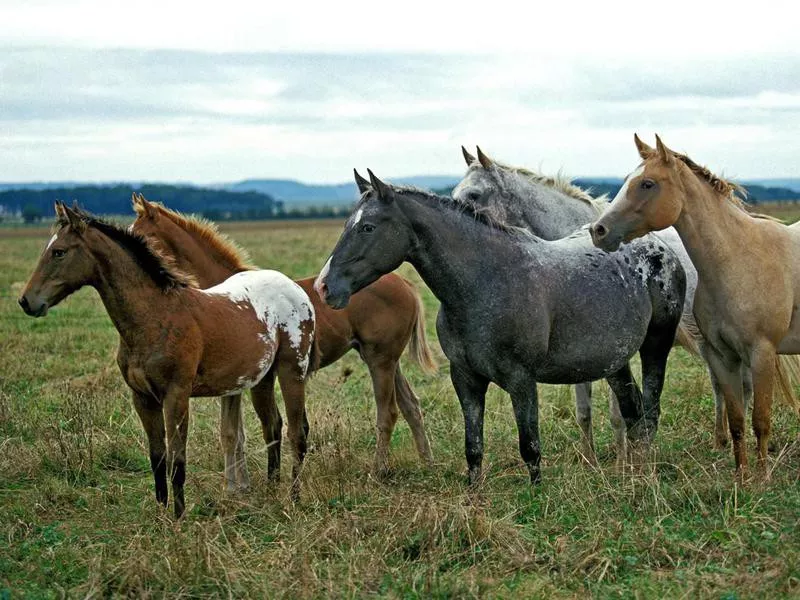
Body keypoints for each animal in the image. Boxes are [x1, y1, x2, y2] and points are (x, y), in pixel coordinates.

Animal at [17, 203, 318, 516]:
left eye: (59, 252)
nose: (27, 301)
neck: (156, 316)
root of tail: (297, 290)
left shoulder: (176, 395)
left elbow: (177, 461)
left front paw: (179, 517)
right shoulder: (143, 398)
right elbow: (158, 458)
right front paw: (161, 514)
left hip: (291, 371)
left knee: (297, 433)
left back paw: (293, 498)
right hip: (261, 379)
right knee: (272, 427)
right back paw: (271, 492)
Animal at [130, 195, 438, 480]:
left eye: (144, 237)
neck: (224, 297)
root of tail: (405, 284)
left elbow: (238, 433)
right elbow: (233, 434)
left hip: (380, 360)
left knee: (388, 412)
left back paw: (379, 470)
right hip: (383, 359)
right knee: (411, 405)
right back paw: (426, 463)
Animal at [316, 170, 684, 488]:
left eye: (367, 227)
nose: (323, 286)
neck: (486, 281)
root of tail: (658, 247)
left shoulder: (521, 380)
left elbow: (530, 447)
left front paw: (537, 499)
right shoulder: (466, 379)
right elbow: (473, 447)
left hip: (655, 345)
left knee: (650, 412)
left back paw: (644, 475)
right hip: (614, 360)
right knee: (633, 413)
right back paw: (632, 473)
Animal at [450, 149, 800, 454]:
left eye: (474, 195)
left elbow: (618, 411)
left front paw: (622, 458)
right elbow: (584, 409)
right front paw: (590, 459)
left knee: (740, 388)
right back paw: (721, 441)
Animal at [588, 136, 800, 478]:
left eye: (647, 183)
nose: (599, 230)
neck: (738, 259)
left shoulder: (762, 353)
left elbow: (761, 420)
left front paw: (763, 478)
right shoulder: (723, 355)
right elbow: (737, 419)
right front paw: (742, 478)